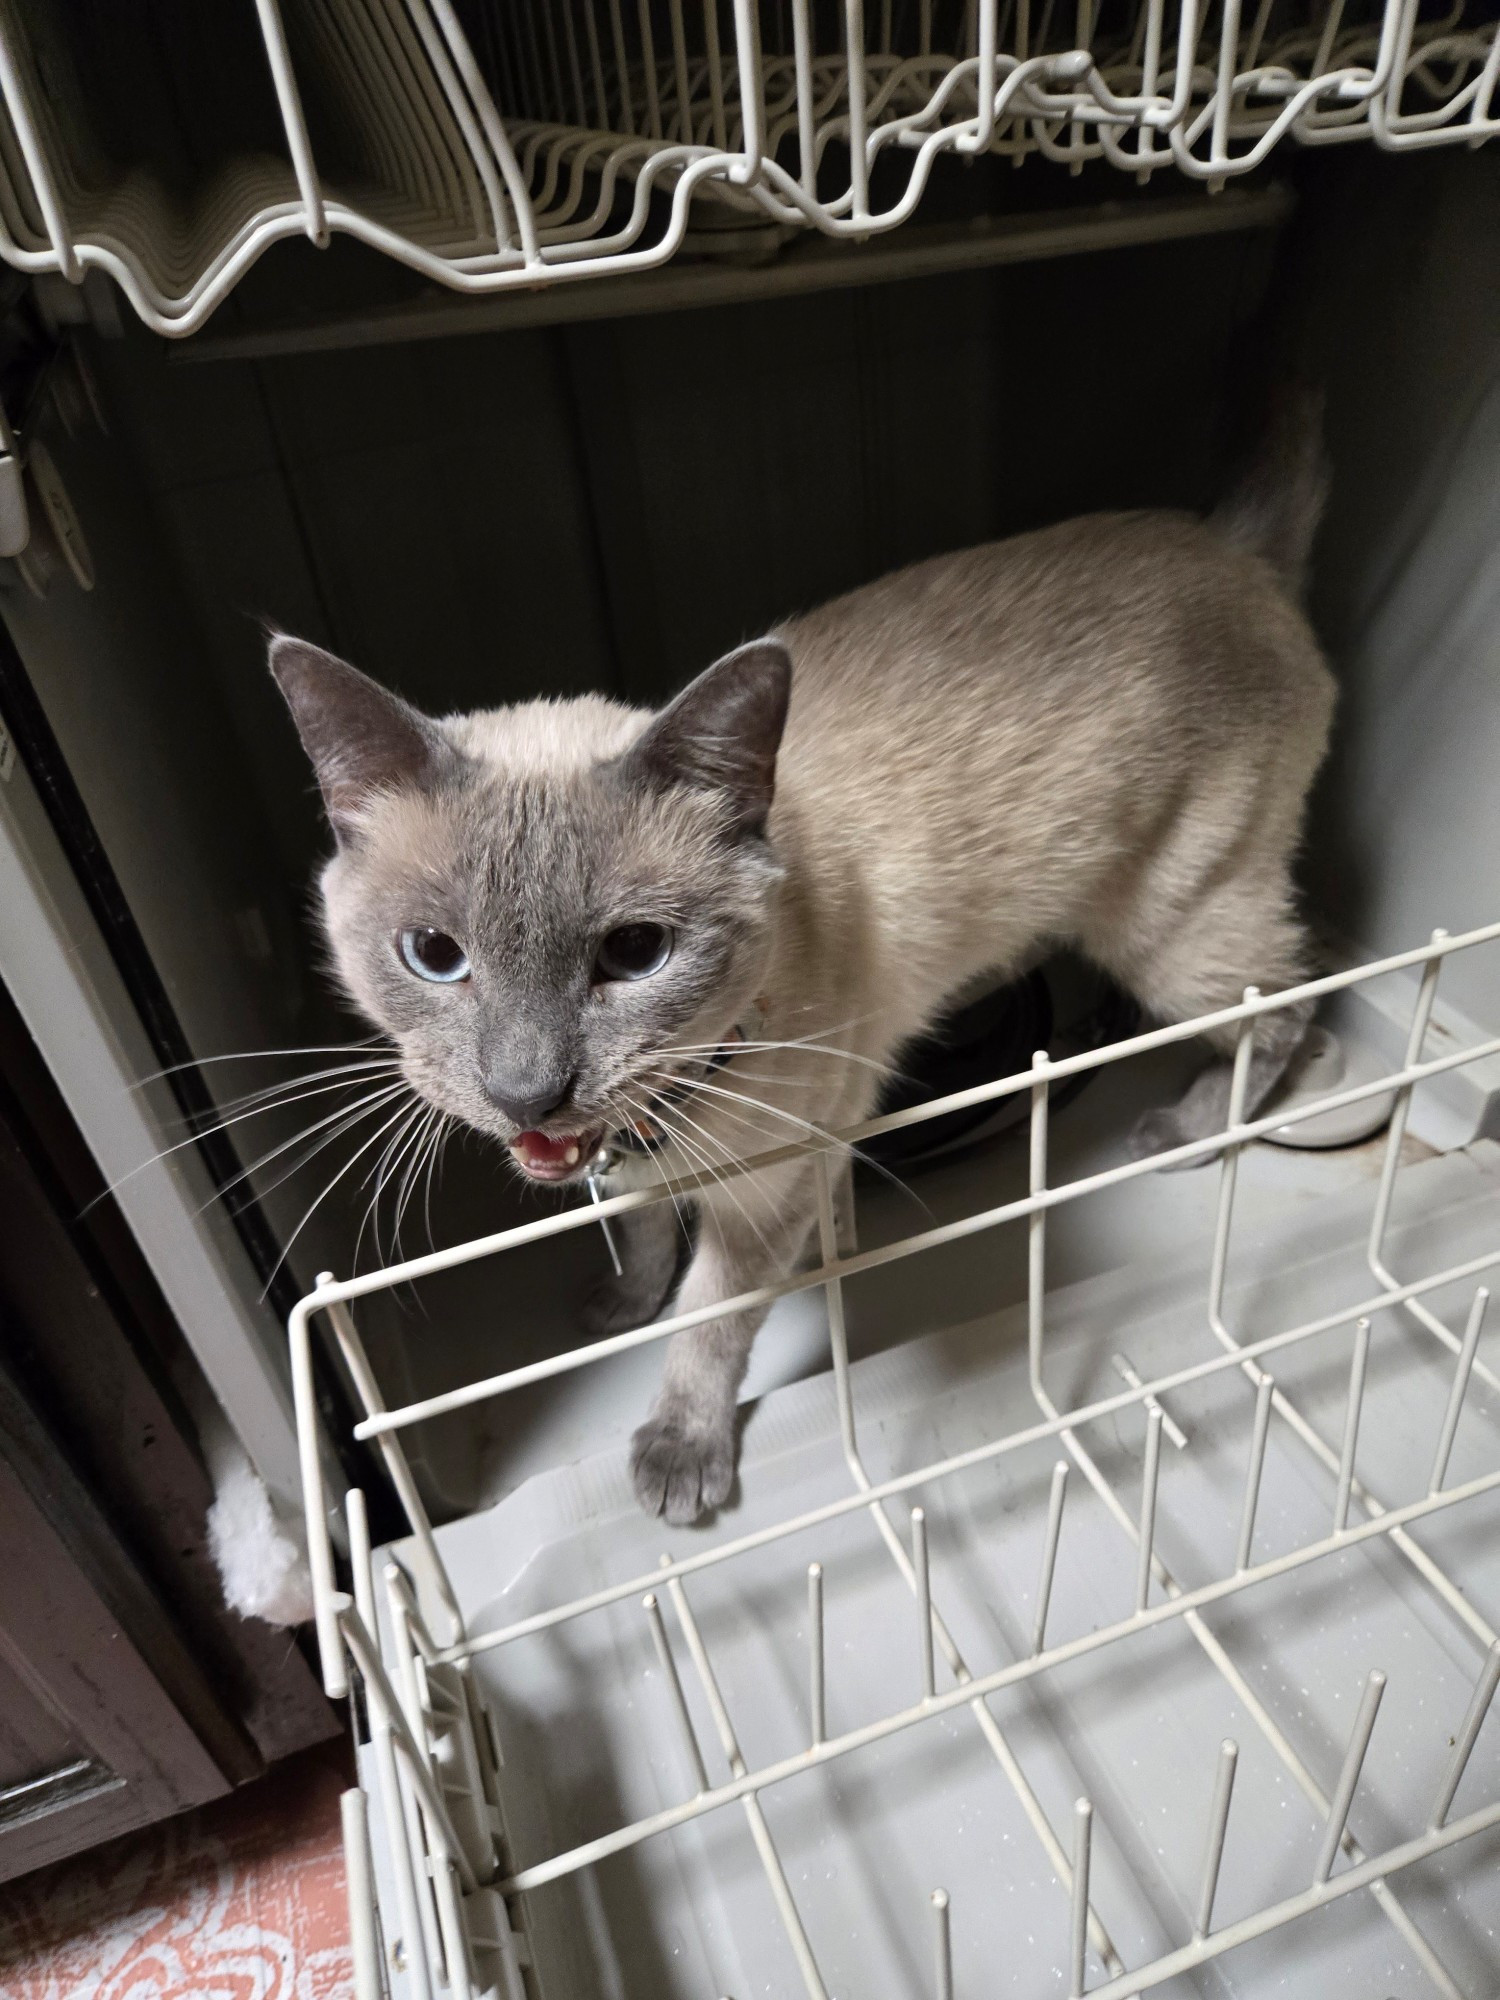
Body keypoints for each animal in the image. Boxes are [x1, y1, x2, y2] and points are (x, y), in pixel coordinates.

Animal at [274, 414, 1336, 1520]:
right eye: (435, 955)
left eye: (634, 952)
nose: (527, 1093)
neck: (662, 1123)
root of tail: (1227, 548)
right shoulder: (639, 1164)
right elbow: (645, 1237)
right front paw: (622, 1301)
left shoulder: (767, 1197)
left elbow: (708, 1323)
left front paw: (682, 1455)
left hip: (1177, 928)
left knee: (1290, 1003)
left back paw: (1192, 1129)